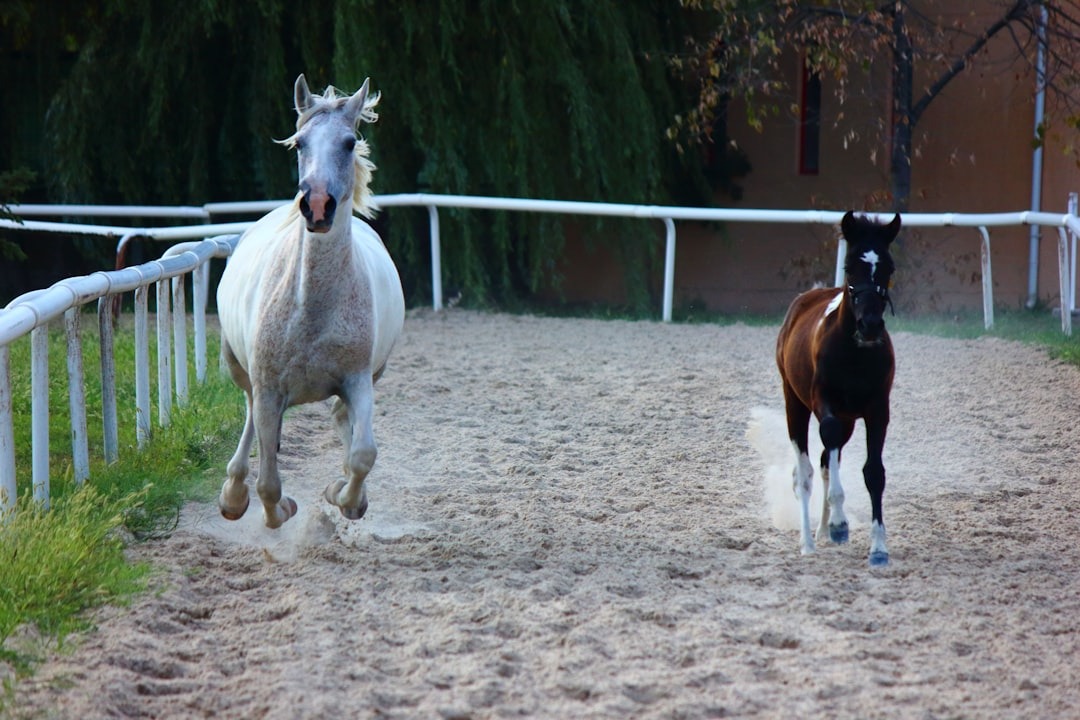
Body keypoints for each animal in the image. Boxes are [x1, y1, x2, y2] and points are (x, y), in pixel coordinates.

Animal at [216, 74, 405, 528]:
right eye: (299, 142)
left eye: (350, 142)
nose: (317, 205)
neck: (312, 308)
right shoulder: (269, 388)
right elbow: (268, 481)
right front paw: (278, 509)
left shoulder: (358, 379)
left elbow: (363, 454)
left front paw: (346, 497)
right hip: (238, 368)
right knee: (249, 415)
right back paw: (233, 493)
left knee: (341, 420)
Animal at [775, 211, 900, 566]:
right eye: (850, 267)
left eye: (888, 267)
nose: (870, 325)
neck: (854, 352)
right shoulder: (823, 402)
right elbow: (824, 444)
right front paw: (840, 524)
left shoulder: (877, 410)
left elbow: (874, 473)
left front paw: (878, 548)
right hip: (795, 403)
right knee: (804, 472)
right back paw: (808, 540)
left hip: (848, 419)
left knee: (824, 461)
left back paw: (821, 530)